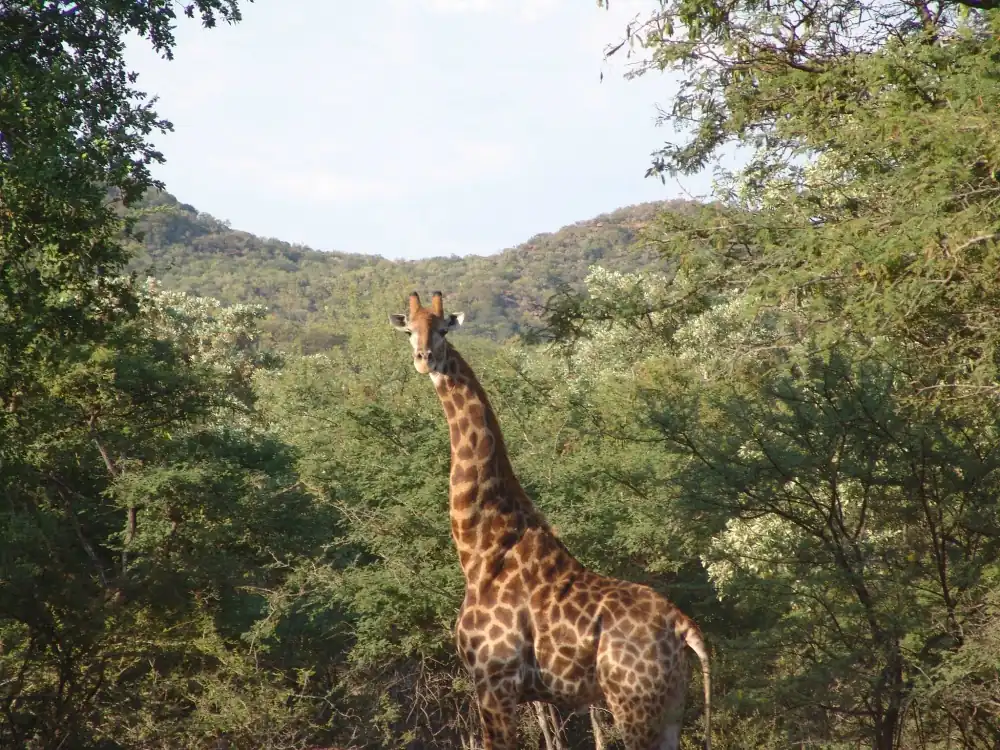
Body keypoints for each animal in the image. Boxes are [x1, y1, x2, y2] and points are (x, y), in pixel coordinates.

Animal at [389, 292, 711, 750]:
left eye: (444, 329)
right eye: (409, 330)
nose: (424, 358)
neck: (481, 547)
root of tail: (683, 627)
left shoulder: (495, 682)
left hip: (632, 704)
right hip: (670, 708)